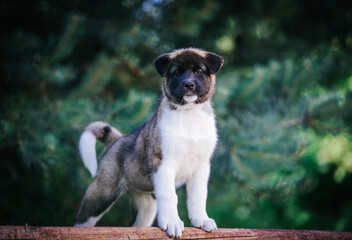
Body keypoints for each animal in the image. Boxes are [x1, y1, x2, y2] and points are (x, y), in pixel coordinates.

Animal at [75, 47, 223, 237]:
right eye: (177, 73)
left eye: (199, 71)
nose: (189, 84)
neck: (189, 114)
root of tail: (118, 140)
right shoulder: (164, 164)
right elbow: (170, 196)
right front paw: (173, 222)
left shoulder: (201, 166)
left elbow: (198, 196)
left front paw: (201, 220)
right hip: (102, 192)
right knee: (82, 220)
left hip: (145, 206)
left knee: (136, 225)